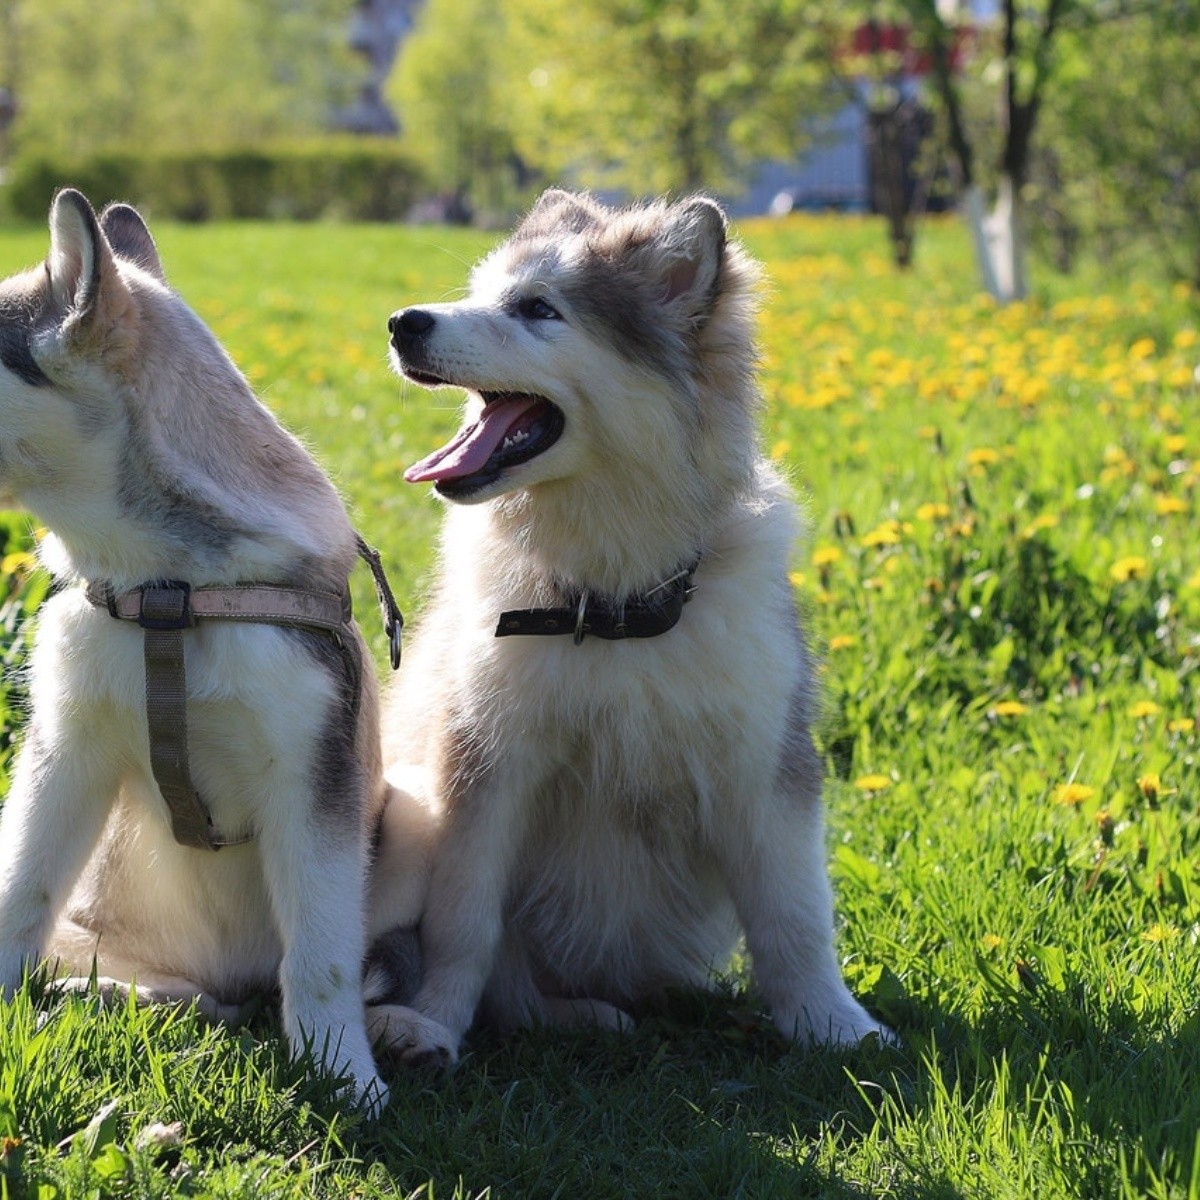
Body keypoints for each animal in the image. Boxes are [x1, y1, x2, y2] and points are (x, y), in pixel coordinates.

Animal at [379, 192, 888, 1065]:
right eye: (479, 294)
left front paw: (833, 1024)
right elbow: (463, 921)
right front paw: (436, 1021)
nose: (402, 321)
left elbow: (794, 916)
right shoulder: (485, 766)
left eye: (537, 310)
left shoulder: (764, 766)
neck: (612, 608)